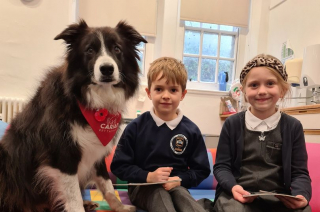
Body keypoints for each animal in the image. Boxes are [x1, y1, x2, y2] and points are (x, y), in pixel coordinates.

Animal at [0, 19, 146, 212]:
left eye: (117, 48)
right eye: (89, 50)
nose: (107, 69)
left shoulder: (97, 151)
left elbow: (107, 185)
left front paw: (120, 207)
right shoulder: (62, 155)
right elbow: (73, 195)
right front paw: (80, 205)